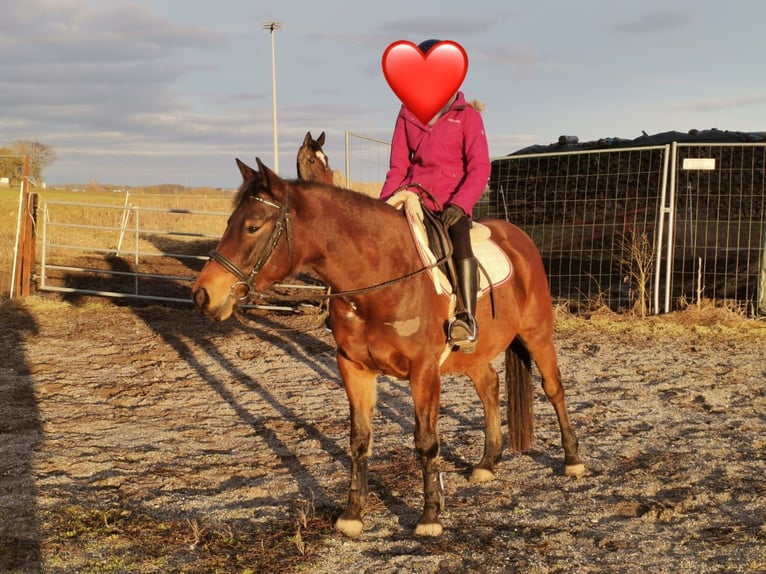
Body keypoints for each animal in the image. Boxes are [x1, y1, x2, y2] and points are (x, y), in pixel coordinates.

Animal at [190, 159, 584, 540]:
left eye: (253, 227)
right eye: (230, 222)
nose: (203, 294)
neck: (379, 277)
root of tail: (518, 237)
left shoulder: (423, 370)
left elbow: (426, 440)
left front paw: (430, 516)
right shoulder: (353, 368)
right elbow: (359, 439)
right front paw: (353, 514)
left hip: (537, 333)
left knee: (553, 388)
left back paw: (572, 460)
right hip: (474, 352)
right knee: (489, 386)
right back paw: (487, 463)